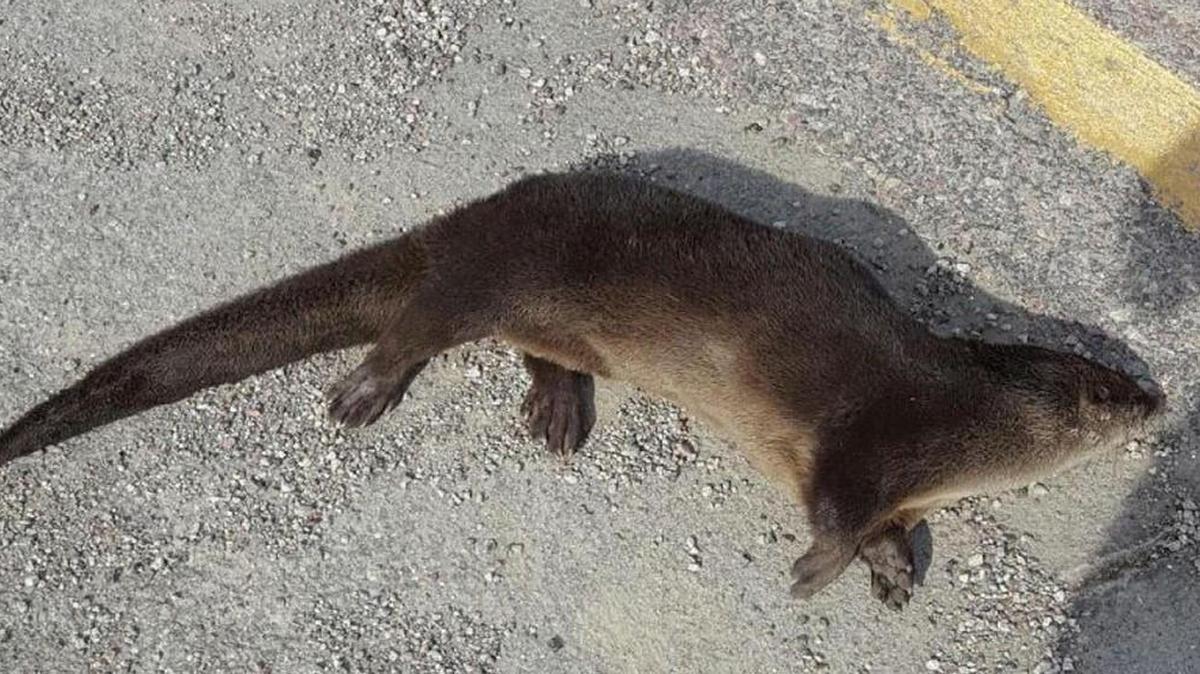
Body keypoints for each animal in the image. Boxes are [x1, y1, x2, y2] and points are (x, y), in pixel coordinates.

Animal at [0, 171, 1165, 609]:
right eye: (1113, 391)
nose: (1159, 404)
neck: (962, 422)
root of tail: (469, 218)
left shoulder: (903, 475)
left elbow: (885, 525)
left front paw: (890, 572)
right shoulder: (870, 435)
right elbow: (837, 509)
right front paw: (815, 573)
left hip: (558, 316)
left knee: (535, 352)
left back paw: (555, 412)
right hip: (500, 268)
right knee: (422, 319)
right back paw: (366, 388)